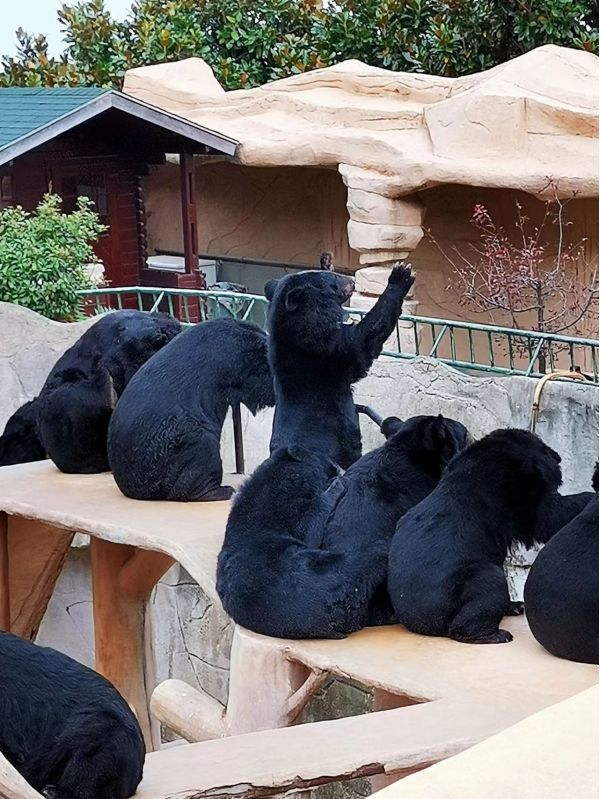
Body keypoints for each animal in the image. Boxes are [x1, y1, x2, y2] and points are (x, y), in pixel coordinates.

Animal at [387, 429, 563, 644]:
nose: (558, 457)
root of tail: (419, 622)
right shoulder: (514, 485)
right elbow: (539, 518)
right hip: (458, 589)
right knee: (489, 584)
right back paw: (495, 634)